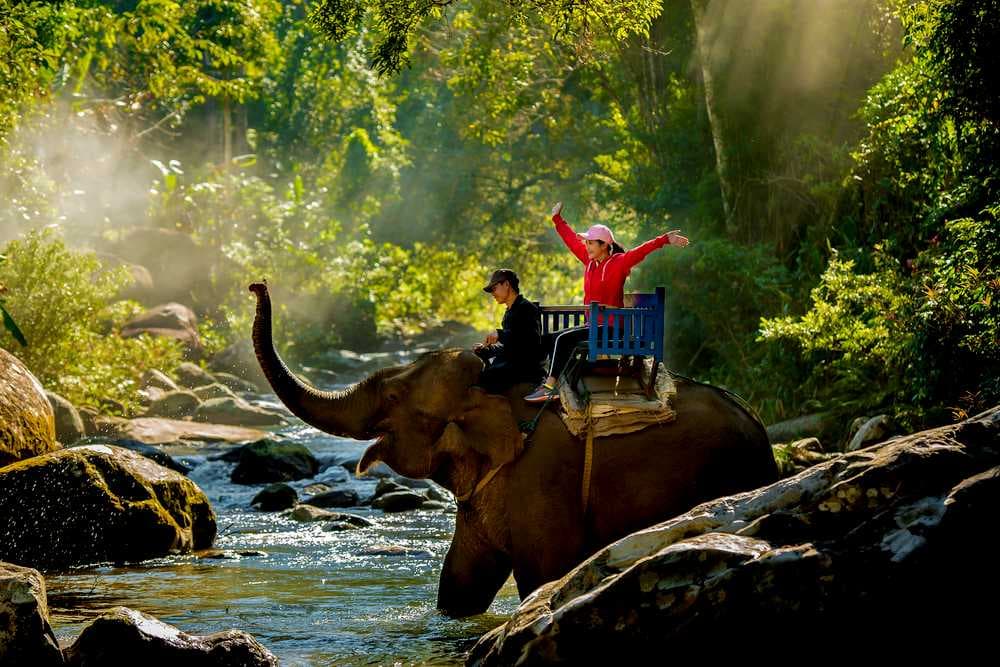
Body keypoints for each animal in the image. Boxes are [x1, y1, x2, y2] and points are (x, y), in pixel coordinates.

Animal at [249, 283, 778, 617]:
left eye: (396, 398)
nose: (256, 285)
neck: (493, 387)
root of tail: (759, 425)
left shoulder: (543, 479)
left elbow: (543, 577)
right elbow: (460, 584)